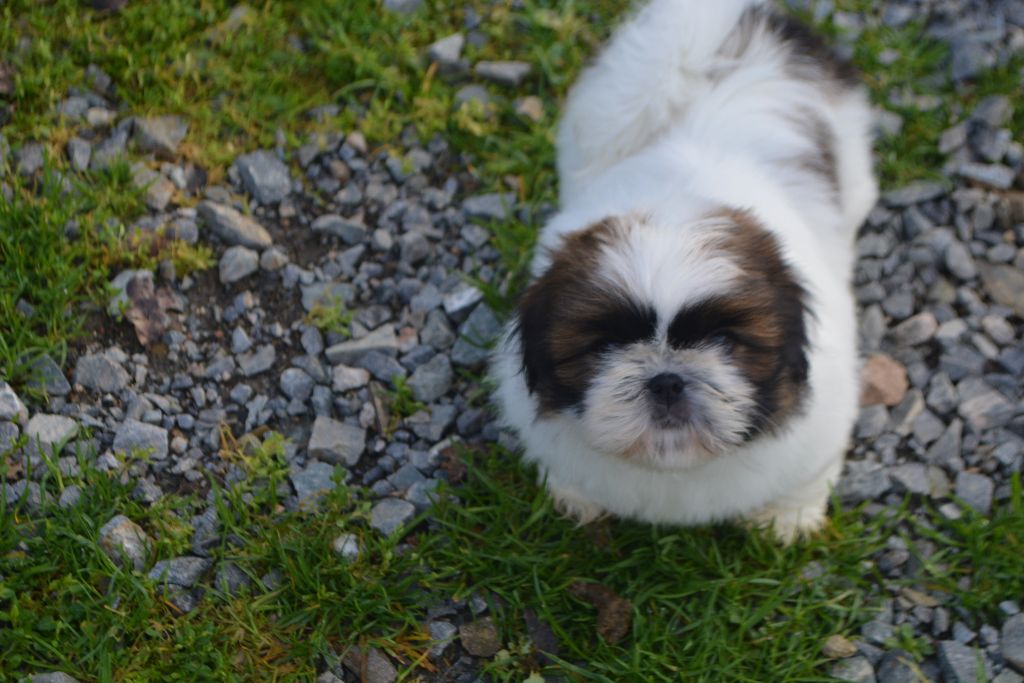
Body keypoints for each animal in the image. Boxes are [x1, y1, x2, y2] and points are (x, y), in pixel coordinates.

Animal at [491, 1, 876, 544]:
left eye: (725, 340)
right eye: (606, 345)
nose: (667, 380)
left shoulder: (818, 436)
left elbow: (804, 479)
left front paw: (785, 520)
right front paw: (575, 499)